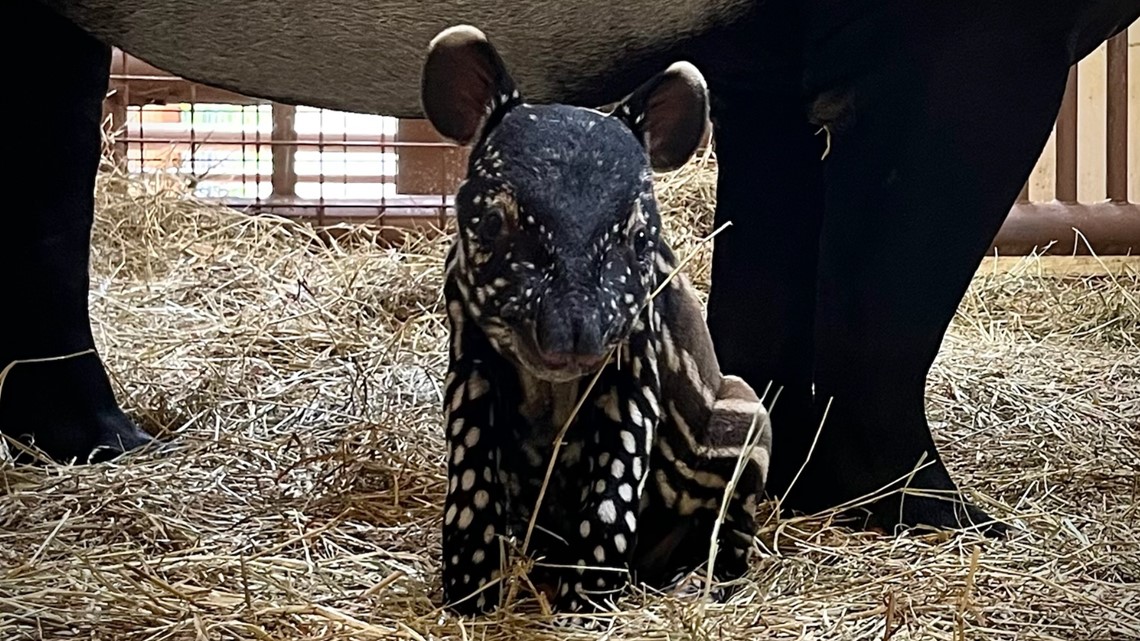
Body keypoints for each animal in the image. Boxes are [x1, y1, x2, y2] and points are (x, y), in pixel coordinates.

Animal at [421, 24, 775, 615]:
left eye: (640, 238)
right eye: (492, 223)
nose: (572, 337)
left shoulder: (634, 361)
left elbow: (613, 489)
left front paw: (584, 606)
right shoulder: (470, 356)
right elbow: (471, 475)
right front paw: (469, 596)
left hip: (747, 419)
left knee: (732, 532)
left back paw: (694, 584)